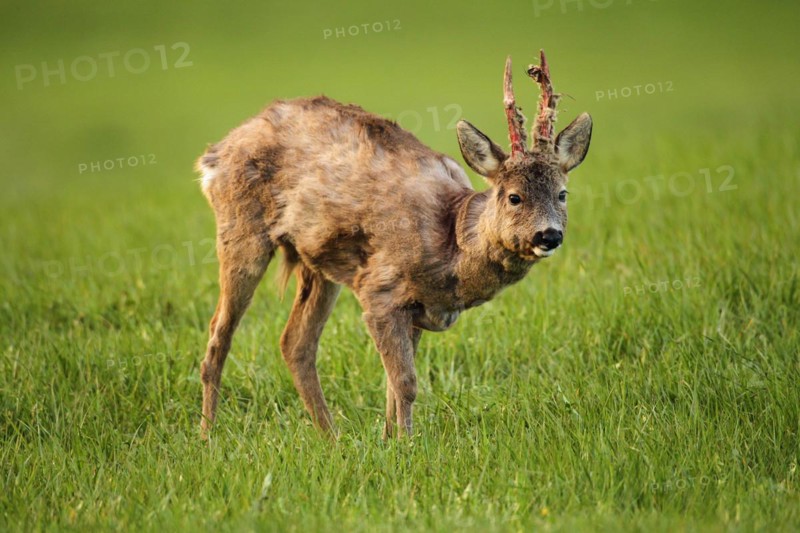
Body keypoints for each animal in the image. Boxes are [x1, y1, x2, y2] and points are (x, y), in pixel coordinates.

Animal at [196, 50, 592, 439]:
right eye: (514, 197)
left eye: (562, 194)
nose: (548, 235)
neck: (452, 242)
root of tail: (215, 153)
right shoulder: (381, 292)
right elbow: (405, 382)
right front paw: (406, 443)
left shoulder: (418, 308)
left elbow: (392, 384)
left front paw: (388, 440)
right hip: (240, 230)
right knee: (218, 335)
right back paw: (207, 435)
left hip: (316, 263)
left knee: (295, 343)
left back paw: (331, 438)